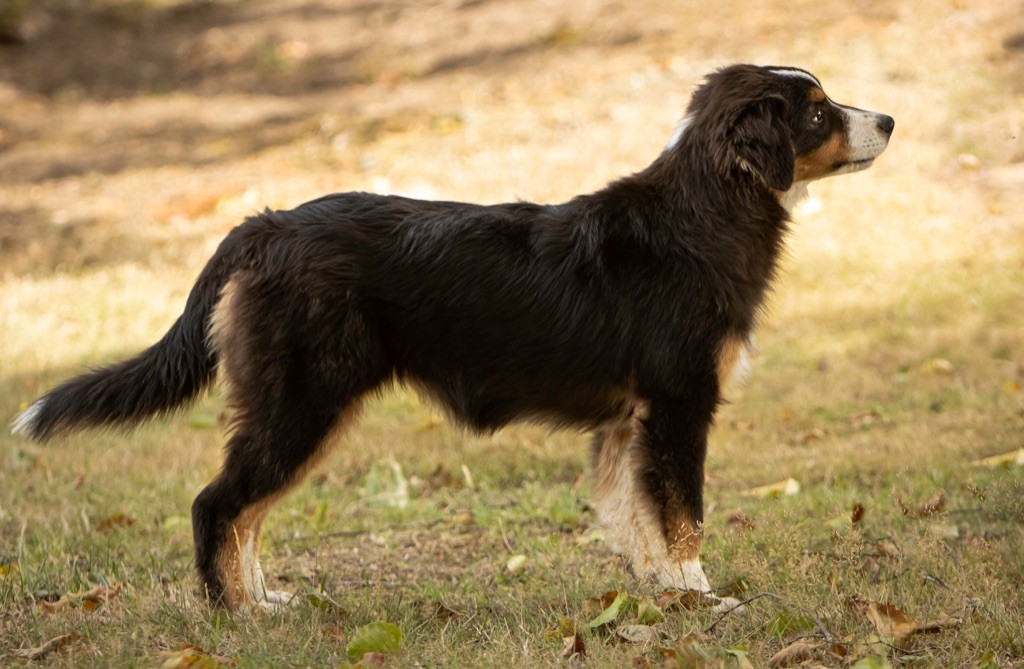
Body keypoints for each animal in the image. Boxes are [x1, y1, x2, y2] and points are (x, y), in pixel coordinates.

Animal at [12, 64, 888, 610]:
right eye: (817, 111)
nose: (888, 118)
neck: (701, 217)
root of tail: (267, 224)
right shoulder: (678, 406)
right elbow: (682, 514)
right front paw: (702, 596)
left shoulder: (627, 422)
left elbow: (634, 516)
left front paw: (662, 593)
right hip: (301, 403)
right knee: (216, 504)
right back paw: (234, 615)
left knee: (245, 513)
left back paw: (266, 599)